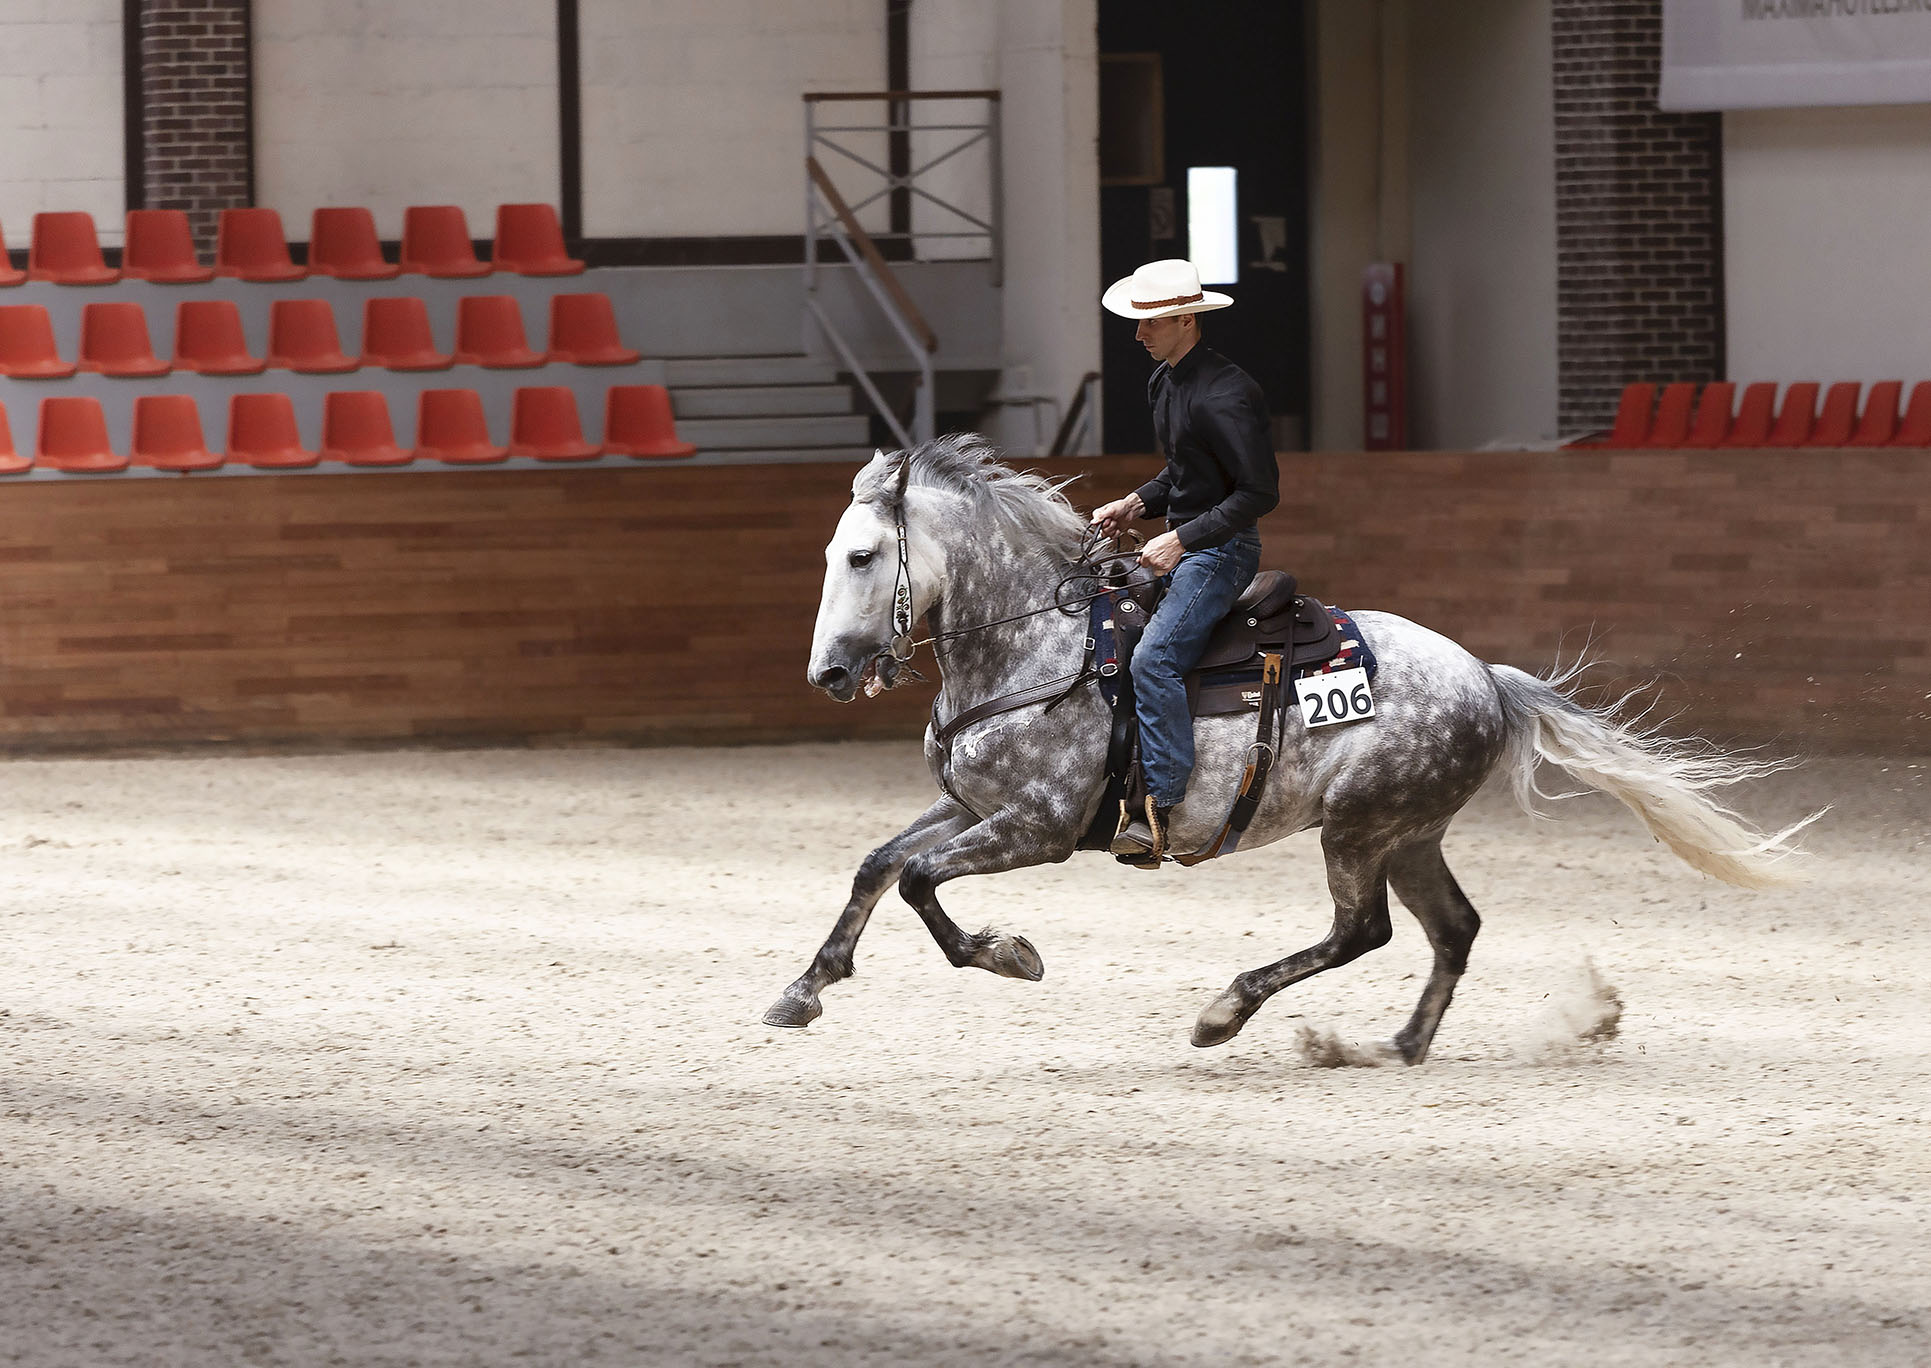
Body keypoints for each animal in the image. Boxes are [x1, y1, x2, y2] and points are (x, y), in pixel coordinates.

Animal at [760, 434, 1815, 1058]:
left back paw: (1226, 1013)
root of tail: (1486, 678)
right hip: (1408, 834)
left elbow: (918, 883)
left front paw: (1007, 953)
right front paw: (804, 989)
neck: (1036, 645)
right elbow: (877, 865)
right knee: (1451, 930)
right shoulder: (969, 805)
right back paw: (1392, 1047)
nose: (830, 675)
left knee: (1364, 932)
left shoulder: (1038, 827)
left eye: (863, 556)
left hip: (1356, 830)